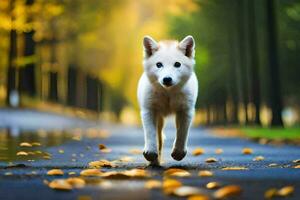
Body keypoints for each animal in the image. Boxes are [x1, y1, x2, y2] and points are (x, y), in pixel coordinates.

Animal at [138, 35, 198, 165]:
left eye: (177, 64)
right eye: (159, 65)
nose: (167, 79)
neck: (168, 94)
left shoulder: (186, 111)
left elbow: (182, 133)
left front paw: (178, 154)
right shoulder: (149, 110)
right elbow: (150, 133)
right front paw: (150, 153)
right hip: (159, 120)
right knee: (159, 139)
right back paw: (154, 162)